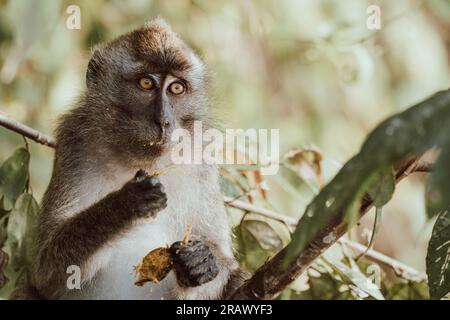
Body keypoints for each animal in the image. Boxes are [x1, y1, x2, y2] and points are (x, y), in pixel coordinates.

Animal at [29, 18, 248, 300]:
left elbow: (224, 260)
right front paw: (125, 203)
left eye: (176, 88)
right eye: (146, 84)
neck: (138, 157)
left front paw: (200, 263)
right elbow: (48, 272)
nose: (164, 121)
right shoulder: (74, 143)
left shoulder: (203, 156)